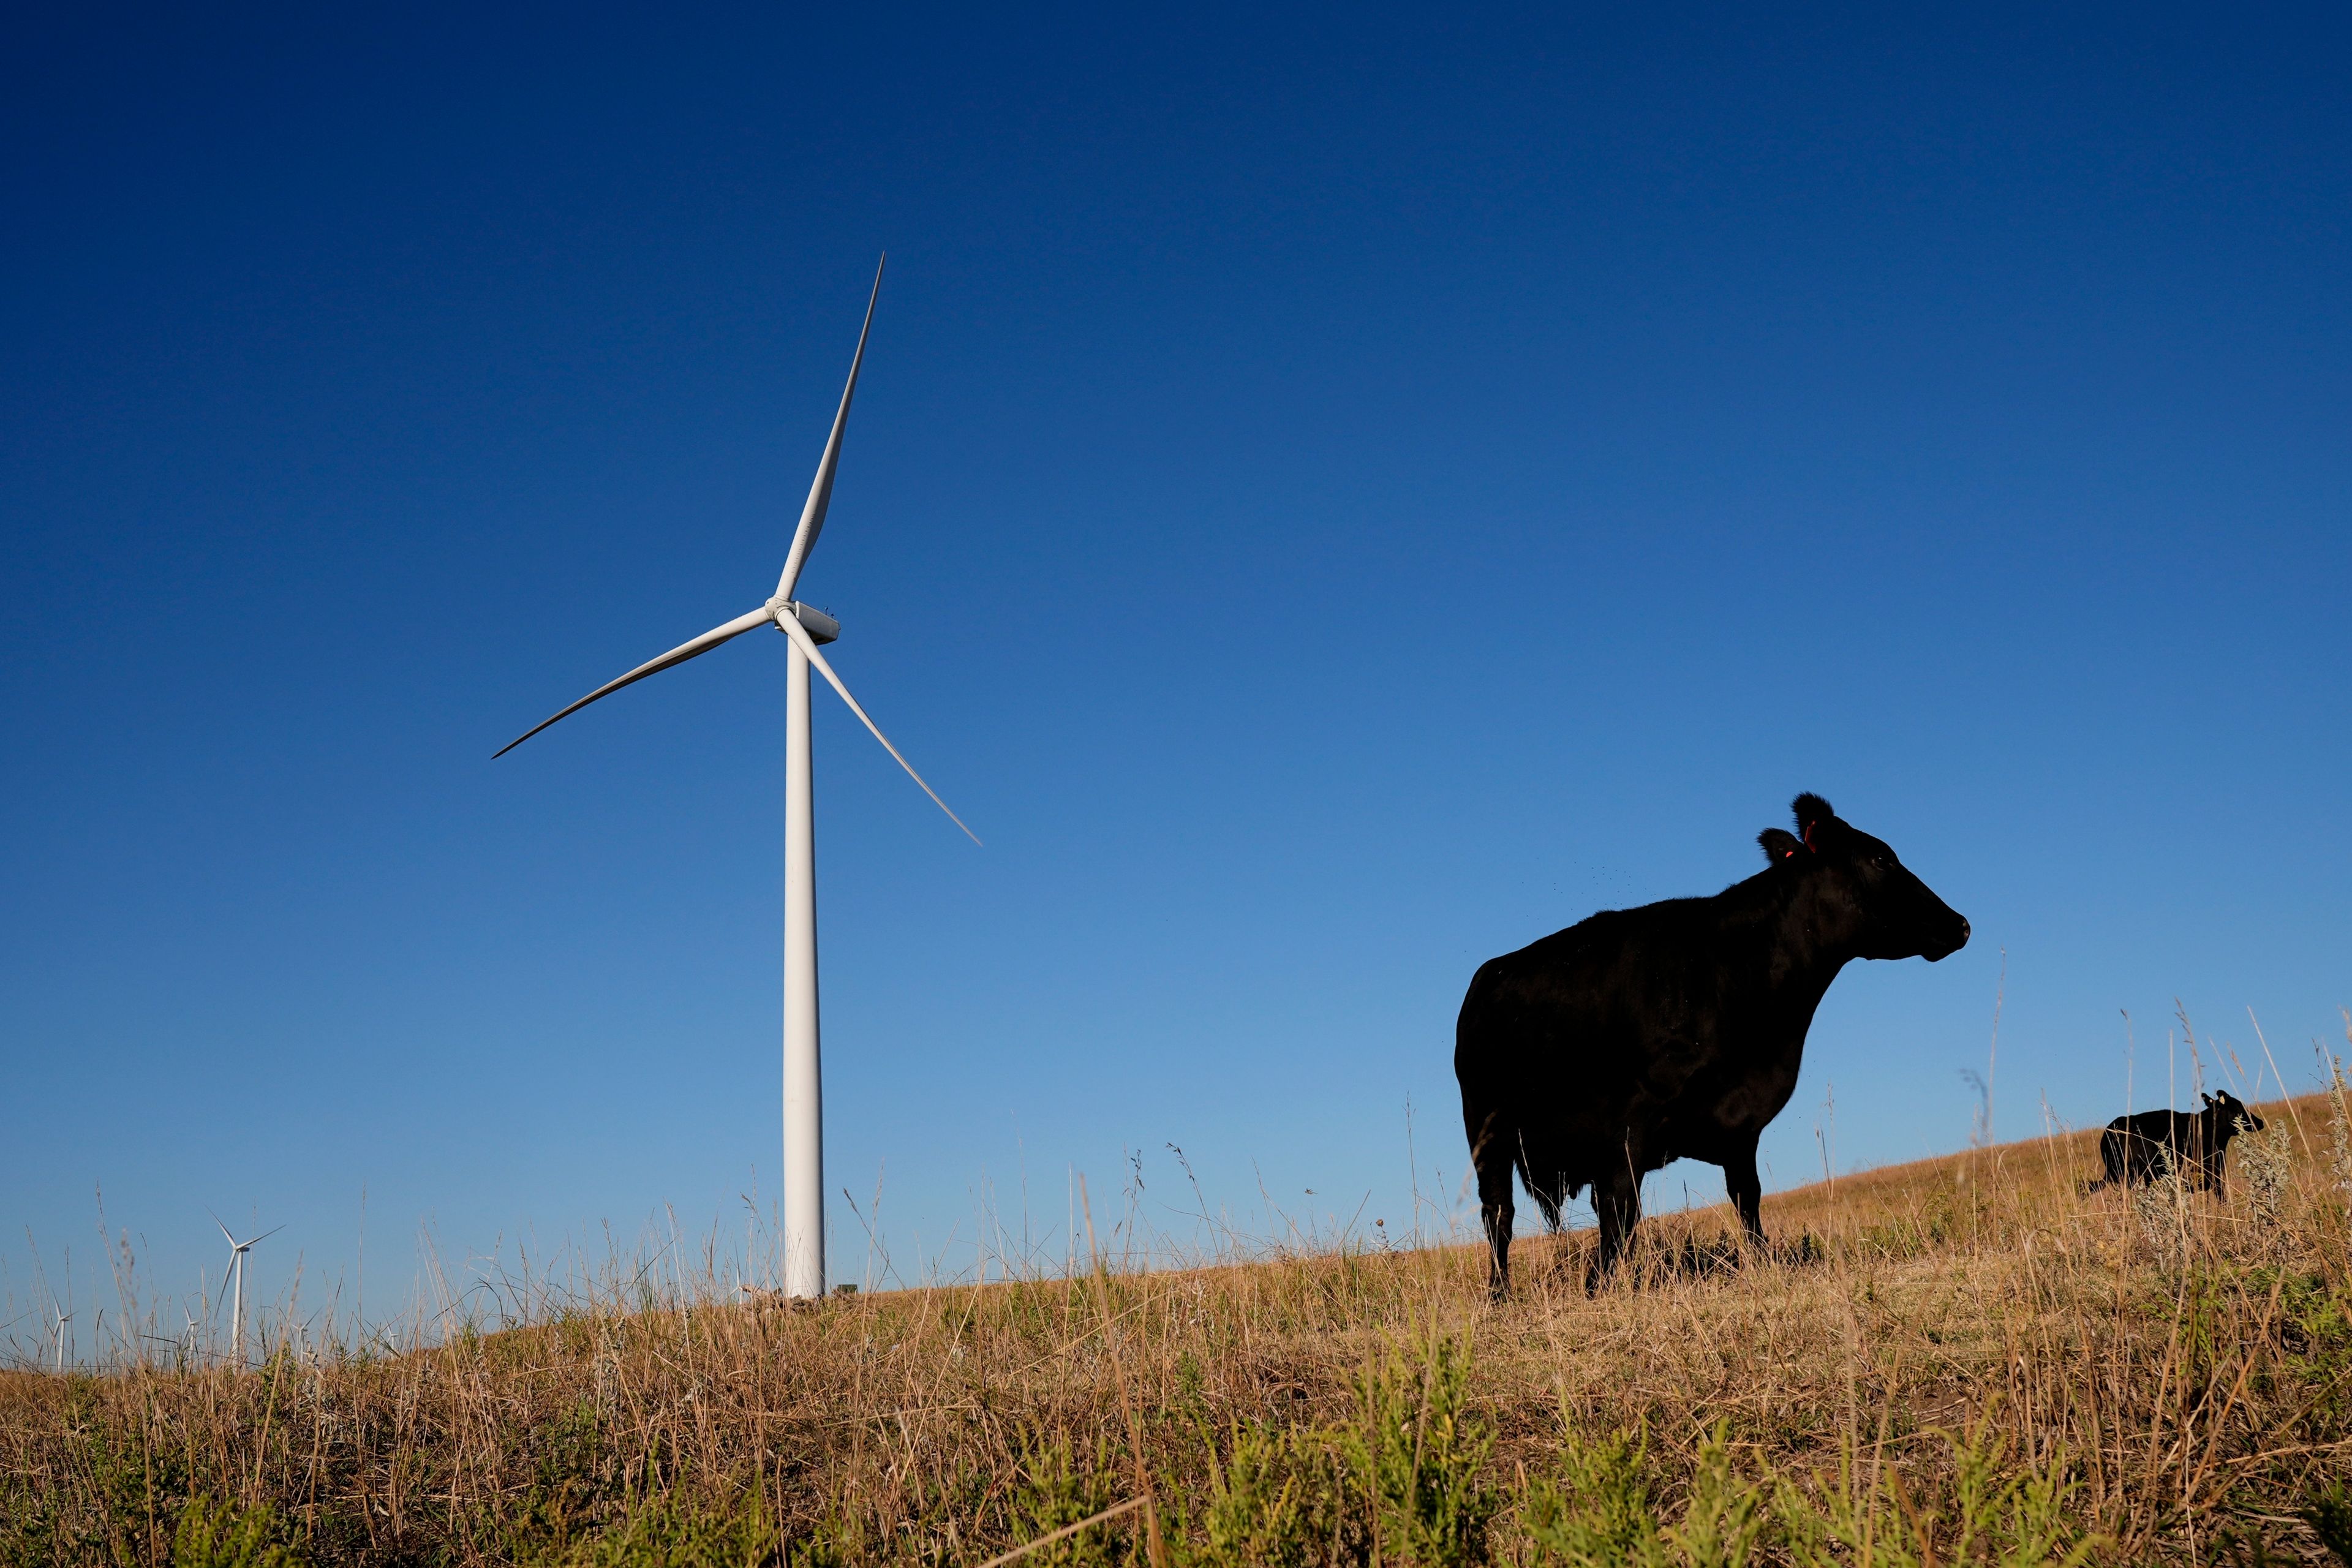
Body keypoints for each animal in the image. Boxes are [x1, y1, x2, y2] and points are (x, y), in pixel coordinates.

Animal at [1449, 790, 1966, 1297]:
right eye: (1881, 858)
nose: (1961, 924)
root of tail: (1489, 975)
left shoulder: (1741, 1127)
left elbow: (1746, 1199)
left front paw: (1763, 1265)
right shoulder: (1629, 1126)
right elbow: (1621, 1211)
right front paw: (1599, 1287)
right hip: (1487, 1131)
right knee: (1499, 1214)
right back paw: (1499, 1295)